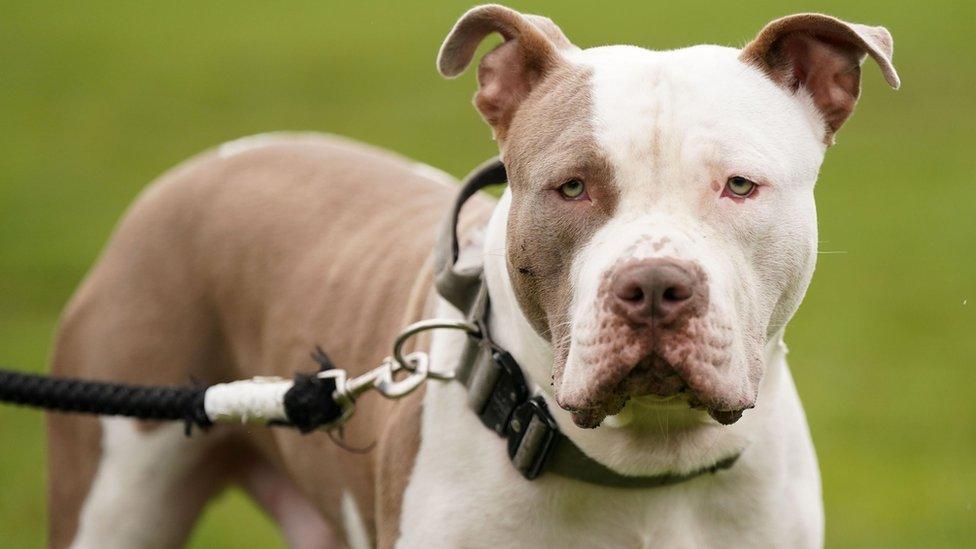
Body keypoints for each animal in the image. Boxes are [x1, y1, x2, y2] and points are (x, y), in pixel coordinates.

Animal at [47, 5, 900, 548]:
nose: (655, 286)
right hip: (114, 493)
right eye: (571, 186)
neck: (645, 471)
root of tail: (204, 164)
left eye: (739, 186)